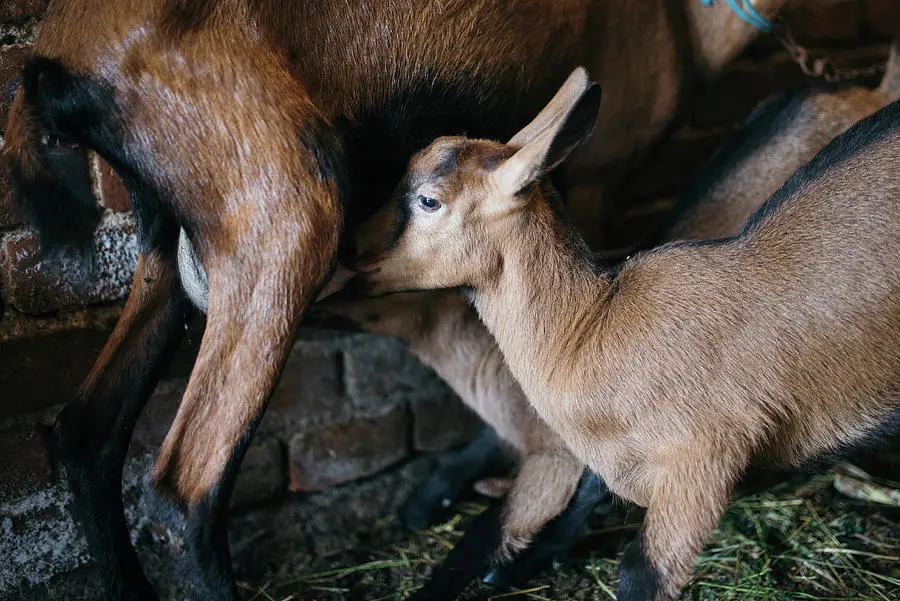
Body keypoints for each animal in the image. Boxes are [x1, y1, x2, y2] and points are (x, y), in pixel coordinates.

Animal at [1, 0, 788, 596]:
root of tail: (55, 61)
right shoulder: (595, 180)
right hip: (284, 221)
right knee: (181, 493)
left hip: (164, 246)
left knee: (87, 435)